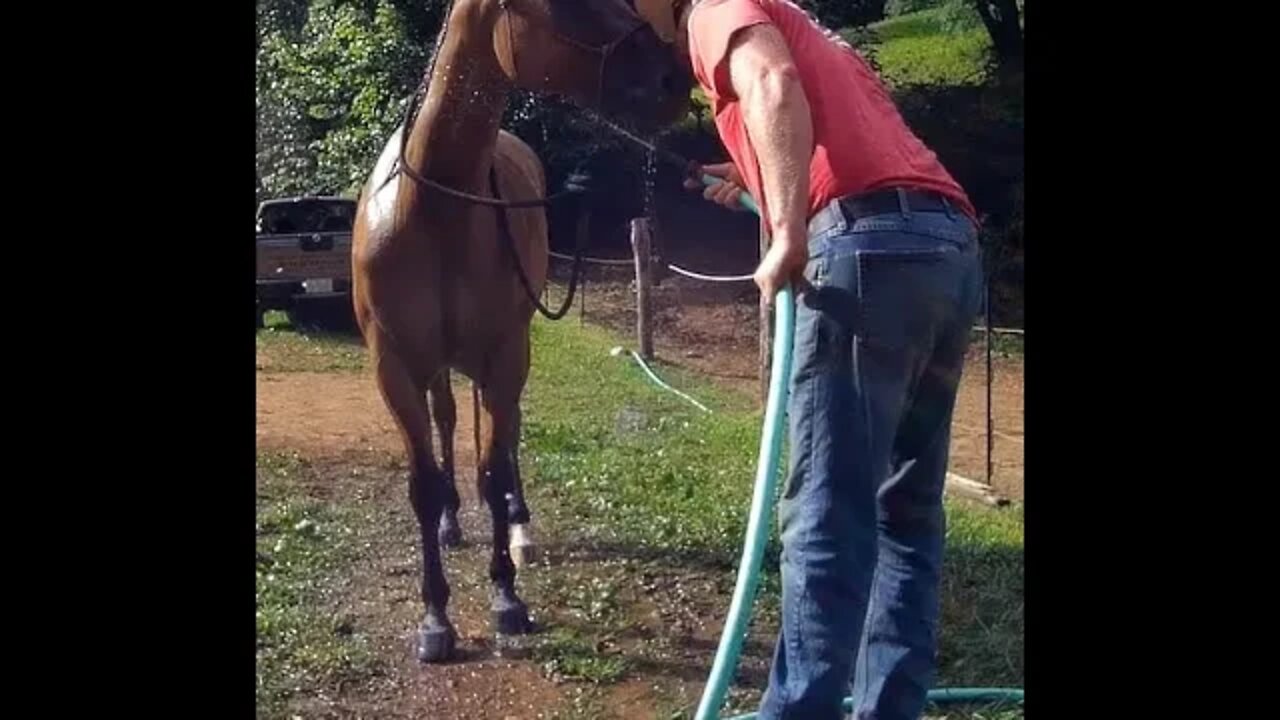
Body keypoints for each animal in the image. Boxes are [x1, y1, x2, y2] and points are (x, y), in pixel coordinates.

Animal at [350, 0, 691, 661]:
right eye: (564, 4)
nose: (672, 77)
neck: (434, 210)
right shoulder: (395, 367)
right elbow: (425, 485)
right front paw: (435, 619)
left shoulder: (505, 354)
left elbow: (493, 468)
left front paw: (506, 596)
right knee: (449, 419)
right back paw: (456, 523)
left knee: (506, 437)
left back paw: (518, 523)